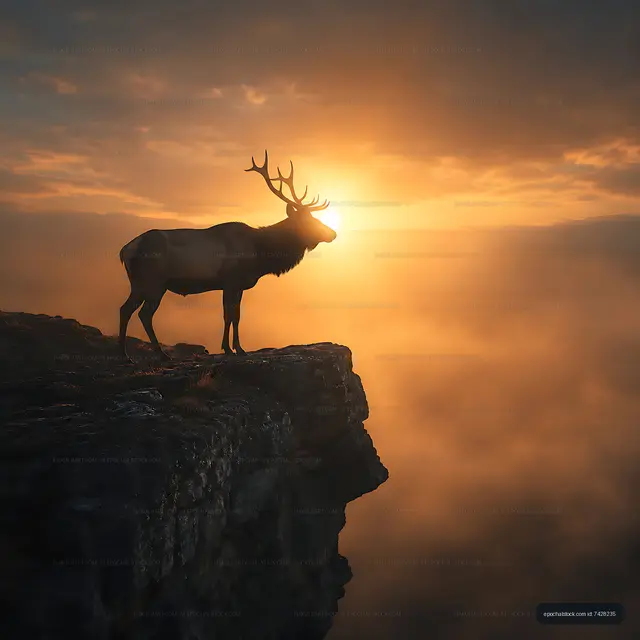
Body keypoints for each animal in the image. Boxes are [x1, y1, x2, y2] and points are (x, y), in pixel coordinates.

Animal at [118, 150, 336, 362]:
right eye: (308, 220)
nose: (333, 233)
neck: (260, 256)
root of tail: (125, 250)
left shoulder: (236, 286)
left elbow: (234, 316)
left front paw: (234, 348)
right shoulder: (230, 281)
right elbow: (230, 315)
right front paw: (232, 349)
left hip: (141, 283)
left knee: (127, 309)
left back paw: (127, 354)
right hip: (153, 281)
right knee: (142, 313)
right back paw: (152, 354)